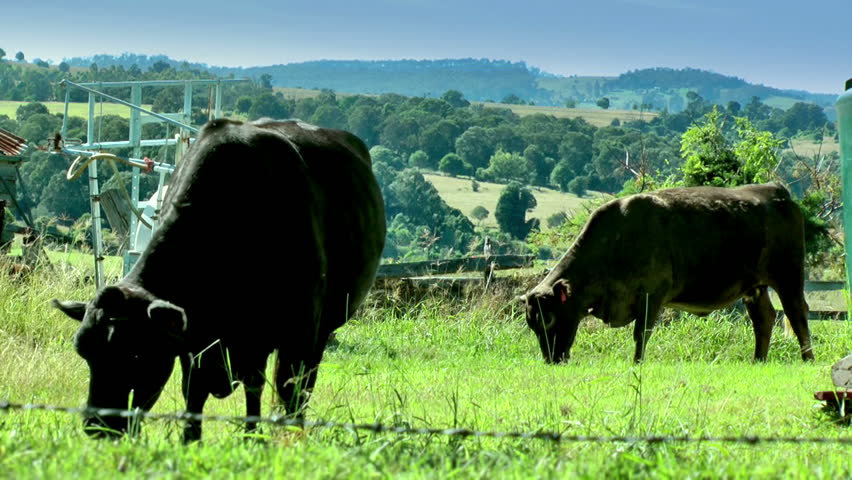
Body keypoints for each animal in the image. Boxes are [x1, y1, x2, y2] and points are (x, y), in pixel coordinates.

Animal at [53, 119, 386, 442]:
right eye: (84, 352)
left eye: (136, 353)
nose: (97, 426)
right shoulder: (197, 338)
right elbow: (194, 393)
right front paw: (191, 440)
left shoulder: (300, 332)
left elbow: (289, 392)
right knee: (254, 385)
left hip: (319, 329)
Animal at [521, 183, 813, 364]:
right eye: (532, 324)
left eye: (549, 319)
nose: (551, 359)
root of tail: (777, 193)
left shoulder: (652, 295)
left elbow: (641, 333)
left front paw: (638, 362)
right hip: (755, 287)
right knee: (764, 319)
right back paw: (758, 360)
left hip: (788, 276)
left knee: (796, 313)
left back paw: (807, 358)